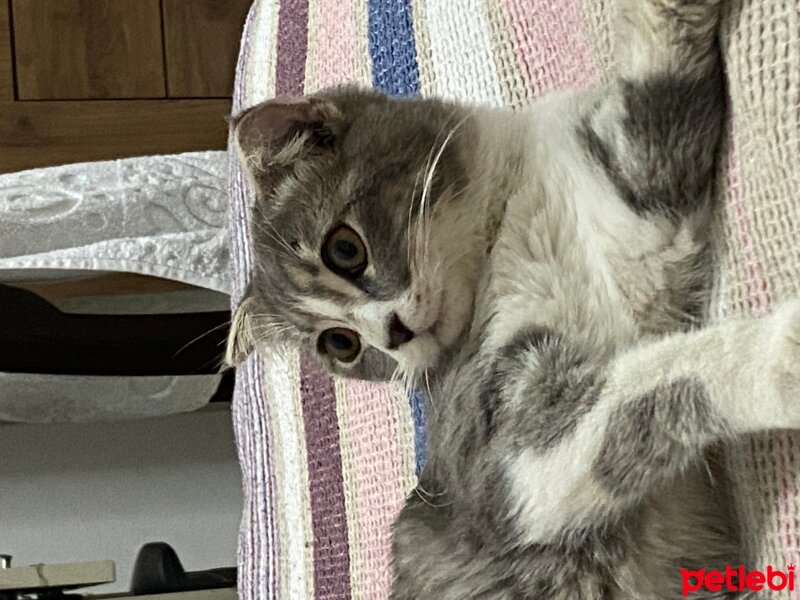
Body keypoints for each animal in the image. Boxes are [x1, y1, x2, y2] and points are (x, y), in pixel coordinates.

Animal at [225, 1, 800, 596]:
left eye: (344, 250)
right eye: (341, 345)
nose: (393, 334)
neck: (509, 228)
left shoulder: (637, 200)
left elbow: (657, 80)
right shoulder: (509, 467)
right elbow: (640, 400)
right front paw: (780, 355)